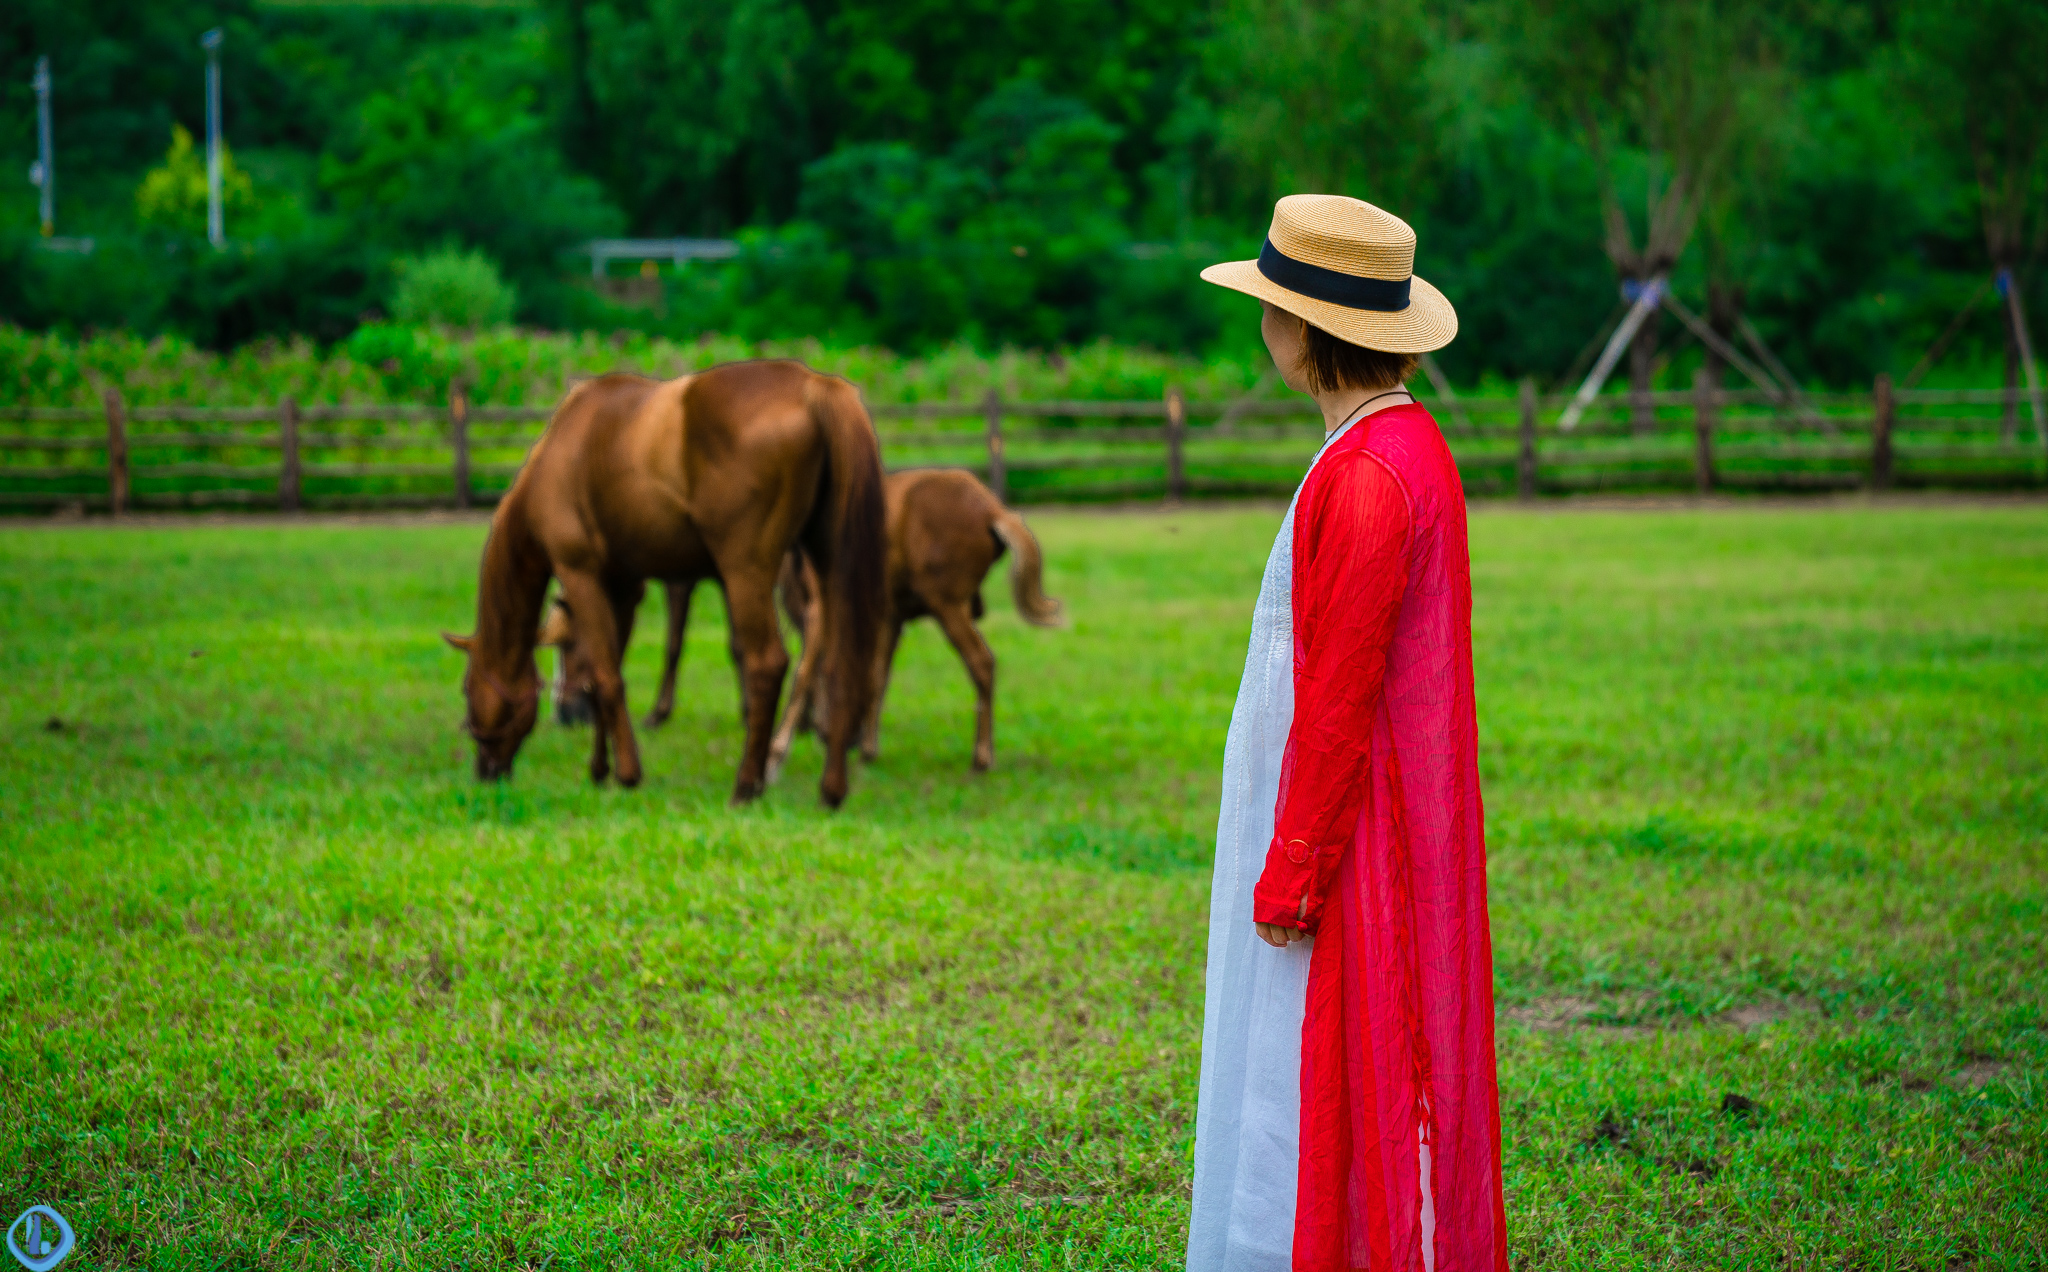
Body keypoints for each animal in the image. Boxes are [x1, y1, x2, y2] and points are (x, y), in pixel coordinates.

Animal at [444, 362, 884, 807]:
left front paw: (627, 772)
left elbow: (605, 673)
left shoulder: (581, 573)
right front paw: (600, 767)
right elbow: (608, 672)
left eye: (466, 689)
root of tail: (813, 385)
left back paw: (748, 783)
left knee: (768, 663)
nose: (485, 771)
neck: (563, 450)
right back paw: (830, 785)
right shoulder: (623, 586)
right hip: (827, 564)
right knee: (840, 658)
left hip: (748, 572)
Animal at [765, 467, 1064, 774]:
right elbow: (875, 676)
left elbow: (804, 674)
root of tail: (993, 509)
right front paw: (867, 748)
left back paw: (981, 756)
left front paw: (777, 752)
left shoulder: (821, 609)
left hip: (948, 608)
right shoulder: (888, 618)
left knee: (982, 663)